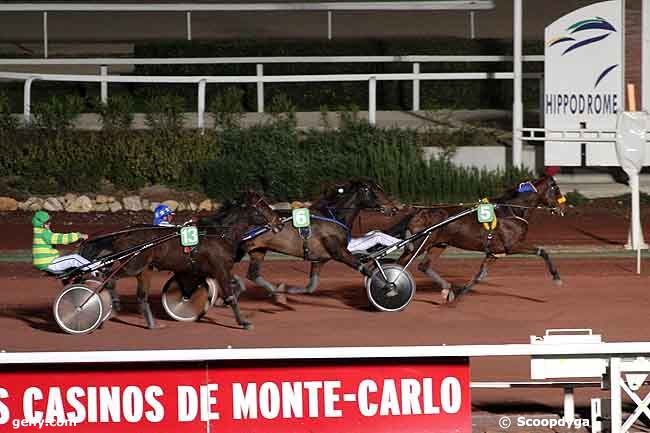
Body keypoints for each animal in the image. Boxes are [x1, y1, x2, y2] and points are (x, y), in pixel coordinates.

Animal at [77, 191, 280, 330]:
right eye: (262, 206)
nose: (278, 222)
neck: (218, 234)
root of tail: (123, 233)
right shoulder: (219, 268)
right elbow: (230, 295)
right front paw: (243, 322)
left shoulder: (198, 271)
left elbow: (195, 289)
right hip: (134, 265)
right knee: (110, 279)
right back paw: (107, 305)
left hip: (144, 269)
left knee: (141, 296)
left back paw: (151, 324)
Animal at [240, 178, 398, 294]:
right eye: (375, 190)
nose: (394, 208)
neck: (334, 216)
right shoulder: (340, 253)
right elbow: (367, 270)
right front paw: (389, 286)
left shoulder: (319, 260)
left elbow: (310, 286)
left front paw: (287, 290)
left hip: (258, 250)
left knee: (252, 274)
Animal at [388, 174, 564, 302]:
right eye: (556, 189)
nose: (562, 208)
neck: (512, 210)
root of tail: (419, 211)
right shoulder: (513, 246)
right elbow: (542, 251)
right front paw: (556, 277)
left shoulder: (494, 253)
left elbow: (480, 275)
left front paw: (459, 294)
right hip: (419, 244)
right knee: (400, 264)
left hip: (438, 244)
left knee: (424, 266)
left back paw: (447, 289)